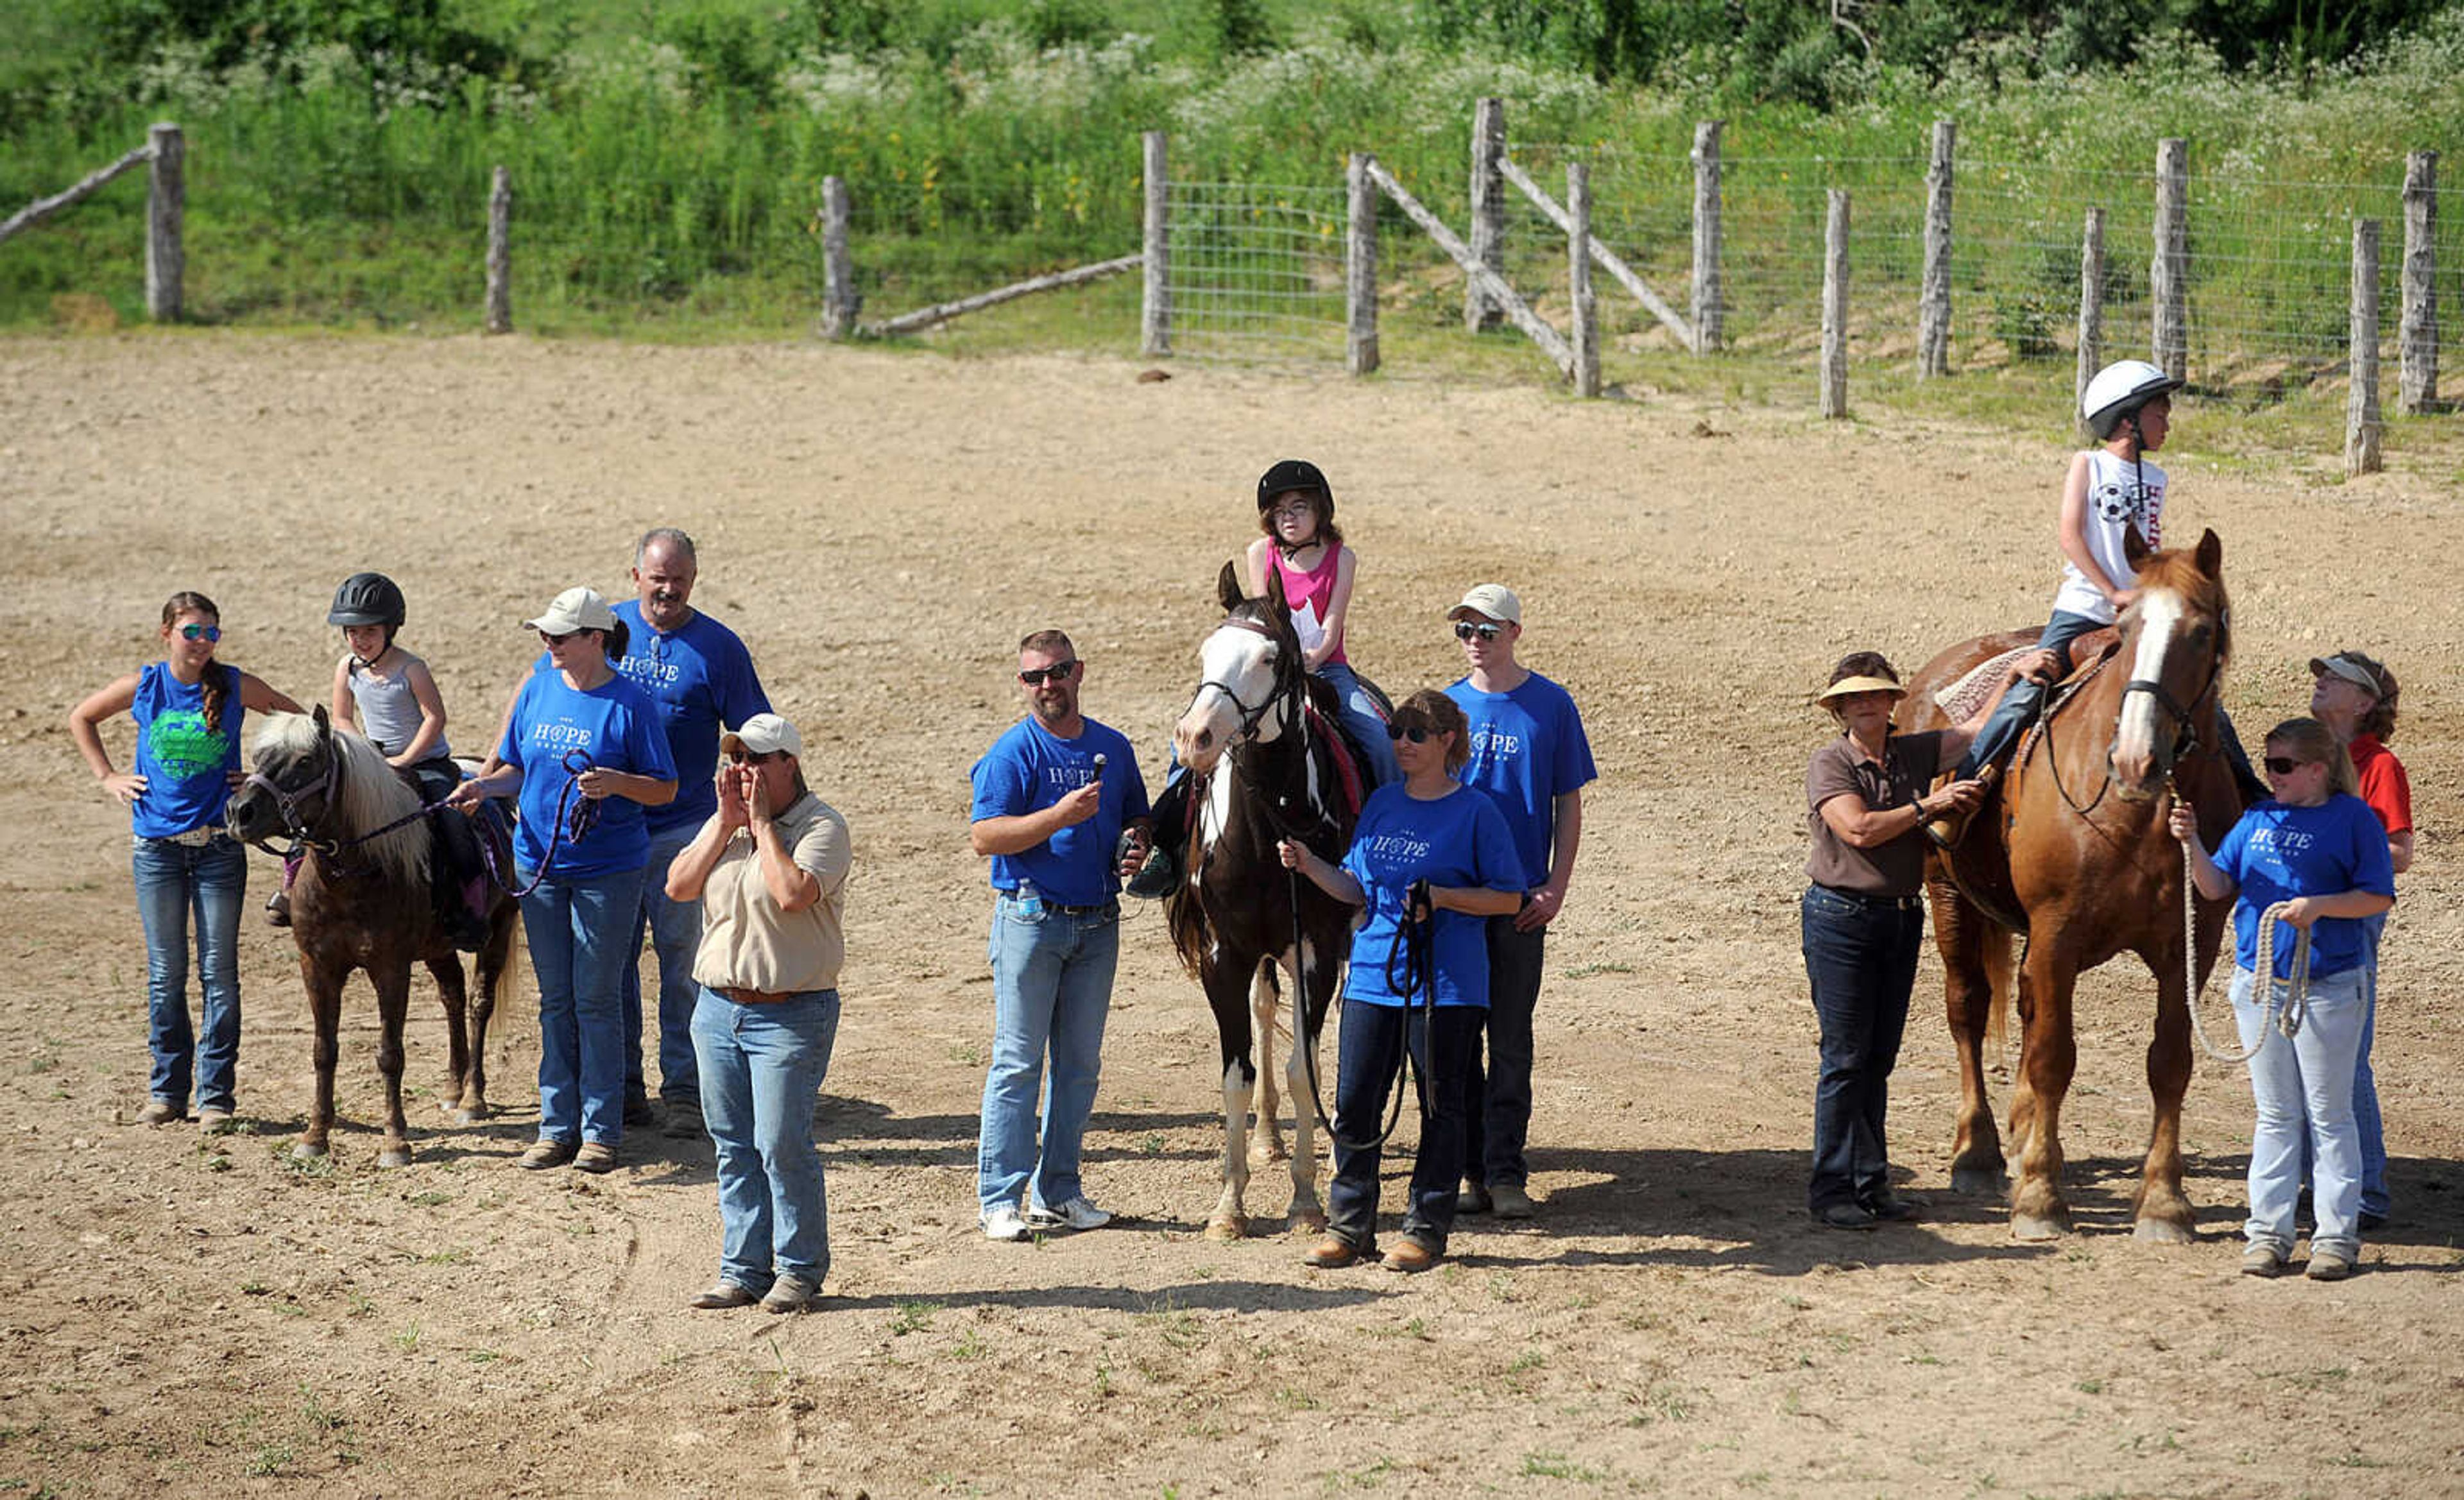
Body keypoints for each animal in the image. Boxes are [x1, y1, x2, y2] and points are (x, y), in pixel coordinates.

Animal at [223, 709, 520, 1163]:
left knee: (478, 1004)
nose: (240, 812)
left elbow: (390, 1054)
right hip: (437, 948)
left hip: (499, 926)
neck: (352, 877)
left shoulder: (391, 969)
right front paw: (315, 1136)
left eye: (306, 760)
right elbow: (323, 1051)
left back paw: (472, 1097)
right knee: (452, 996)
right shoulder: (317, 967)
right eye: (259, 756)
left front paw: (395, 1139)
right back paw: (453, 1088)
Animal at [1158, 556, 1370, 1236]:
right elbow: (1236, 1074)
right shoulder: (1225, 955)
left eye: (1271, 658)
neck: (1270, 825)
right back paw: (1268, 1137)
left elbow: (1306, 1068)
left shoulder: (1316, 951)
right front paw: (1230, 1206)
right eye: (1207, 651)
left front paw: (1305, 1200)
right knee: (1261, 1007)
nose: (1195, 736)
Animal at [1902, 529, 2257, 1241]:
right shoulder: (2057, 932)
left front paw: (2165, 1202)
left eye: (2202, 631)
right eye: (2125, 628)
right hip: (1947, 895)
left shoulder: (2191, 945)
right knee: (1968, 1007)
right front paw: (2041, 1199)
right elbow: (2053, 1056)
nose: (2137, 758)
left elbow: (2169, 1061)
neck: (2133, 810)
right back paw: (1978, 1151)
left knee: (2023, 1006)